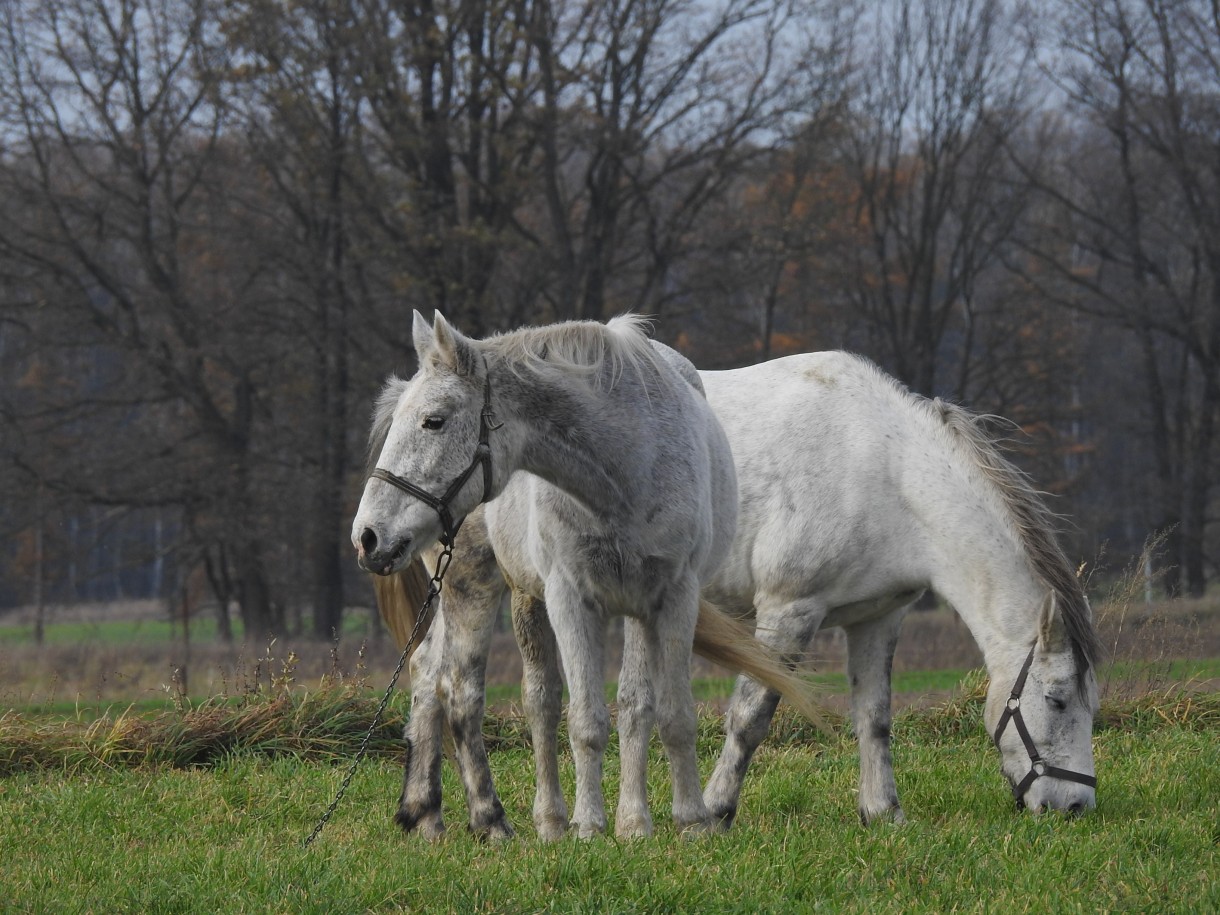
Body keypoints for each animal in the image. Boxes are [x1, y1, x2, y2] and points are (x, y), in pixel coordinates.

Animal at [353, 314, 819, 839]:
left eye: (435, 420)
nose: (367, 537)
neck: (628, 470)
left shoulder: (671, 599)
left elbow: (664, 713)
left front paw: (676, 821)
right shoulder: (571, 600)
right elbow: (585, 720)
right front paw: (590, 824)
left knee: (440, 673)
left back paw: (430, 813)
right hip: (475, 584)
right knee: (474, 691)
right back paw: (505, 818)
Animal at [375, 348, 1102, 839]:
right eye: (1058, 699)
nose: (1075, 805)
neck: (882, 466)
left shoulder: (878, 618)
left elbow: (875, 717)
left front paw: (882, 811)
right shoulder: (789, 611)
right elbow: (752, 716)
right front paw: (717, 808)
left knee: (426, 674)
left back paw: (422, 812)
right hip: (474, 576)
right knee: (454, 683)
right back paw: (479, 817)